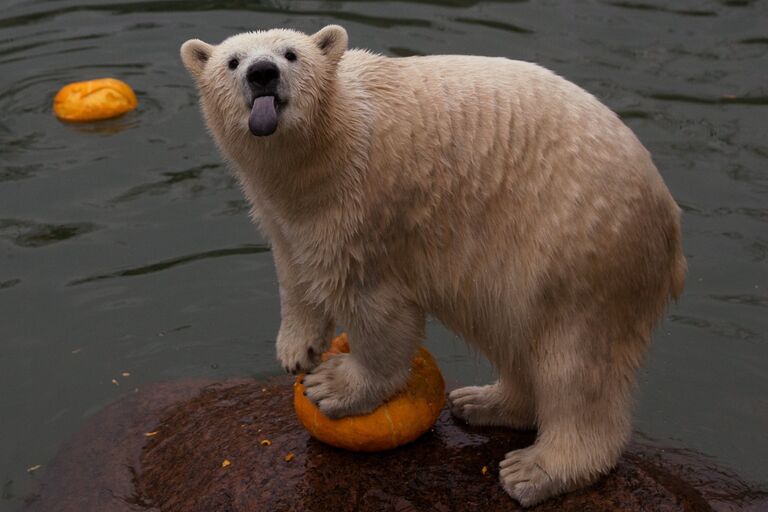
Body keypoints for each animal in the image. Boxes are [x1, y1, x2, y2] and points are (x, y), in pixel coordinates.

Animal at [183, 26, 688, 506]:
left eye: (291, 53)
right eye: (233, 61)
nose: (262, 73)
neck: (327, 145)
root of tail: (670, 220)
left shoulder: (366, 205)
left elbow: (374, 306)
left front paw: (334, 385)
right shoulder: (284, 211)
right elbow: (295, 268)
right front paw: (297, 349)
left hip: (577, 250)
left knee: (575, 364)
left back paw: (535, 470)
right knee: (513, 334)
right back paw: (483, 402)